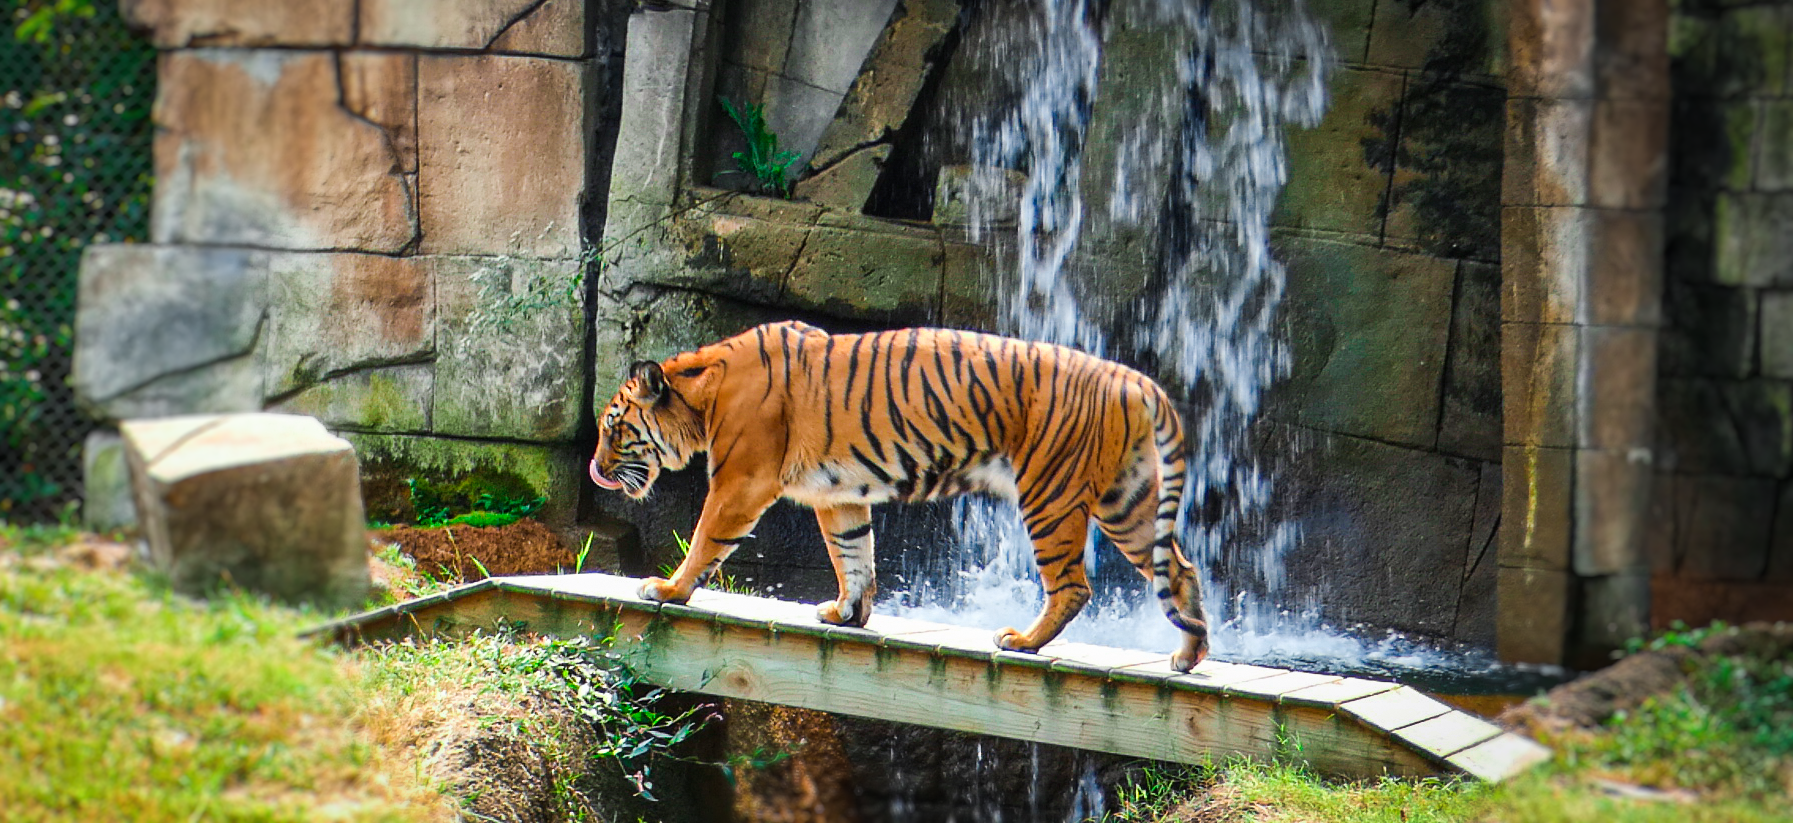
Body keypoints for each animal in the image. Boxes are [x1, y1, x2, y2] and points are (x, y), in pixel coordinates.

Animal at [588, 321, 1211, 671]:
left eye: (614, 426)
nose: (594, 470)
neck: (702, 394)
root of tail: (1134, 378)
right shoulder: (838, 492)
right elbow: (852, 554)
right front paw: (847, 613)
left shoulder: (741, 481)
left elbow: (706, 538)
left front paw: (668, 589)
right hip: (1125, 501)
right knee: (1180, 568)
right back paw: (1187, 655)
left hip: (1050, 495)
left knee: (1074, 585)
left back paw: (1022, 641)